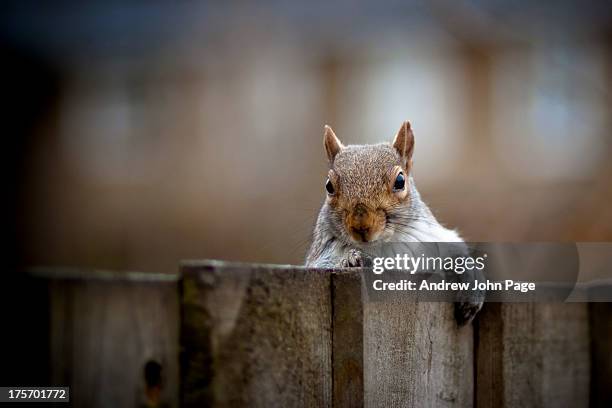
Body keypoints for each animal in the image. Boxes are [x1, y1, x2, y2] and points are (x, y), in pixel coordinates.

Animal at [304, 121, 482, 326]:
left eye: (400, 181)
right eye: (329, 186)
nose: (361, 226)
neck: (383, 244)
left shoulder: (433, 236)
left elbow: (456, 252)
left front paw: (472, 286)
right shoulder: (321, 256)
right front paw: (353, 258)